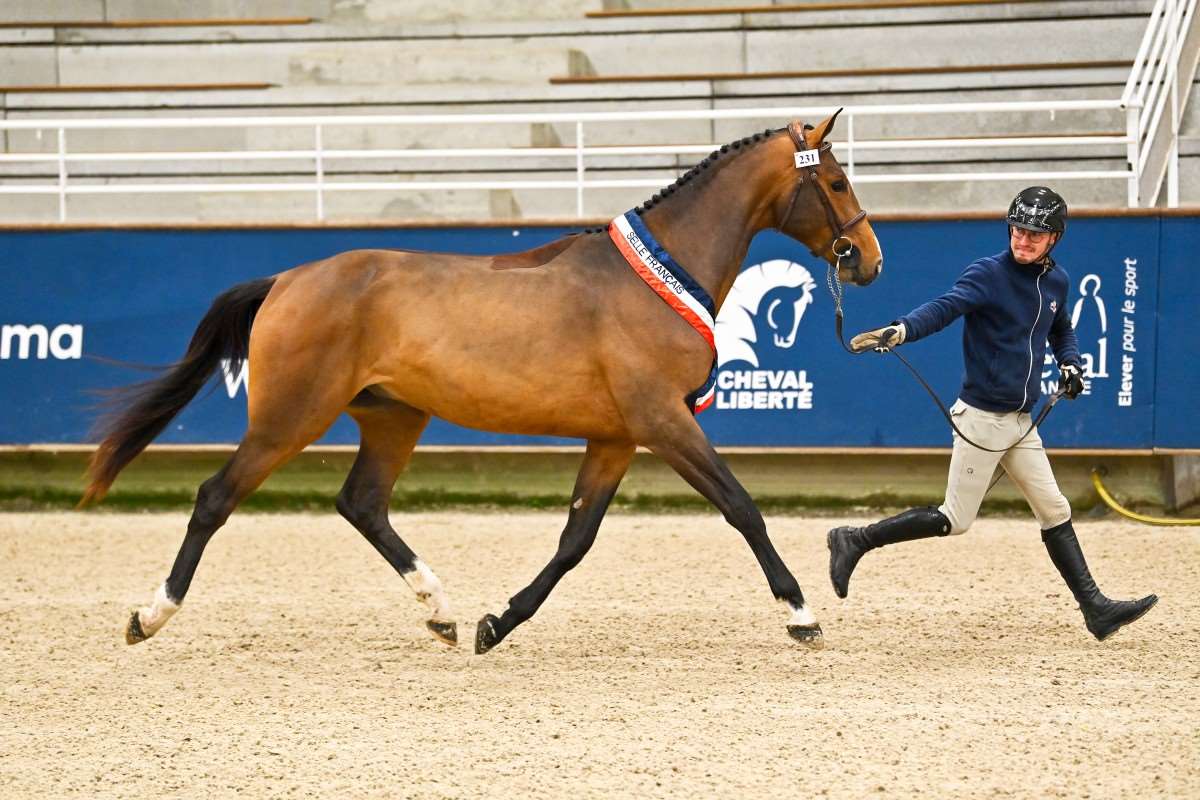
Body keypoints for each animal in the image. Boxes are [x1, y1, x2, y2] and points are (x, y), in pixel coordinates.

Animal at [82, 111, 882, 654]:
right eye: (836, 180)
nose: (869, 259)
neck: (655, 279)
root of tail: (286, 279)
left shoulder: (617, 438)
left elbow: (575, 540)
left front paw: (498, 622)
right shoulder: (664, 422)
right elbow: (742, 508)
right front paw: (802, 614)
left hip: (393, 417)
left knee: (361, 503)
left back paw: (440, 610)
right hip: (290, 417)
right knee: (216, 497)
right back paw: (150, 616)